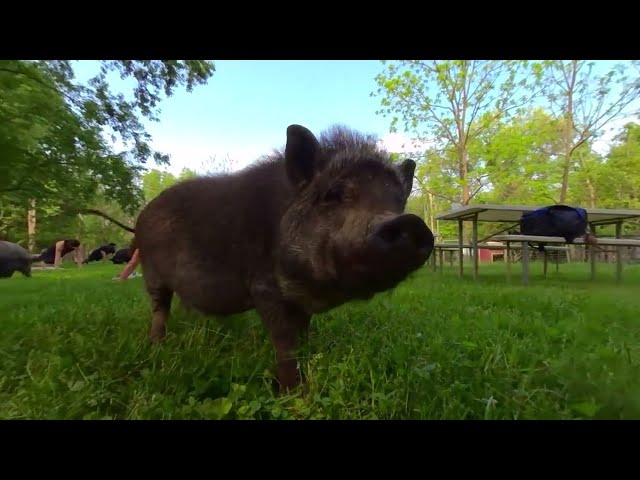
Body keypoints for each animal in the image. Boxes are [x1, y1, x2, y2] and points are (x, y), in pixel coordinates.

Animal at [84, 125, 436, 392]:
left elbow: (303, 334)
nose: (410, 222)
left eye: (397, 200)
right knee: (159, 309)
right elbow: (284, 342)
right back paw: (157, 347)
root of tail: (140, 218)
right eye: (333, 195)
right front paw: (293, 392)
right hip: (152, 273)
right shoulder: (264, 288)